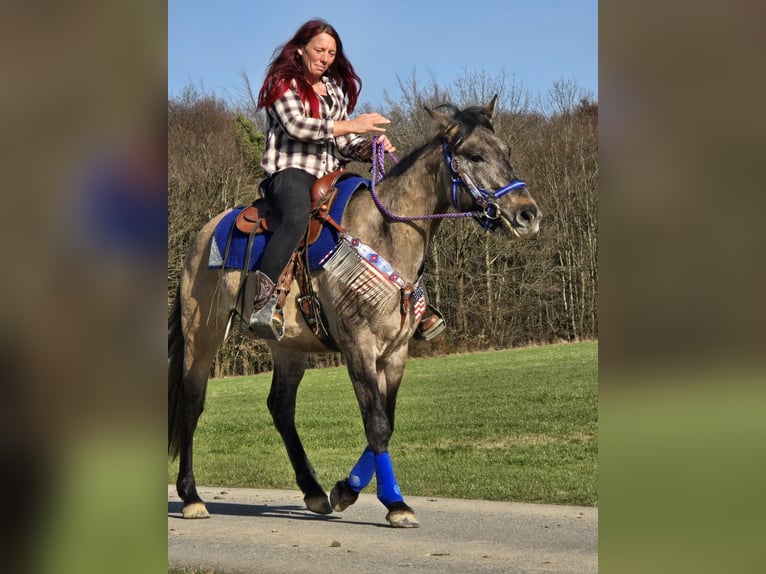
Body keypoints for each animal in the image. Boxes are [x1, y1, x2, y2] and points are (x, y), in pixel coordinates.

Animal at [168, 96, 541, 528]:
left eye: (507, 151)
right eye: (476, 155)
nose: (529, 215)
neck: (384, 235)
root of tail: (201, 236)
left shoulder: (395, 352)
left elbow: (386, 420)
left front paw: (348, 490)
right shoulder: (358, 346)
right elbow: (376, 424)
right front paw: (392, 502)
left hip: (289, 348)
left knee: (281, 407)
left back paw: (313, 492)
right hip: (203, 335)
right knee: (191, 403)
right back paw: (192, 497)